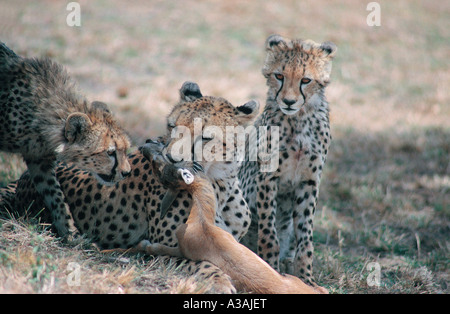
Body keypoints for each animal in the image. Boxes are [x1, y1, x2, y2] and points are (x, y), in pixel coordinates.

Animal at [0, 43, 130, 240]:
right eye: (110, 152)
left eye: (125, 150)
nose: (127, 172)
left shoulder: (40, 160)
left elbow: (55, 194)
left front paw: (70, 232)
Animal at [0, 82, 258, 294]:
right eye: (172, 126)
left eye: (205, 137)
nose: (171, 159)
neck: (218, 186)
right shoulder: (158, 249)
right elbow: (199, 262)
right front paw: (219, 281)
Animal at [241, 34, 336, 288]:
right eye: (279, 76)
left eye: (306, 80)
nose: (289, 102)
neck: (299, 120)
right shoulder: (267, 178)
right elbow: (268, 232)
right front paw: (270, 270)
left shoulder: (309, 182)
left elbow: (305, 236)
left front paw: (306, 279)